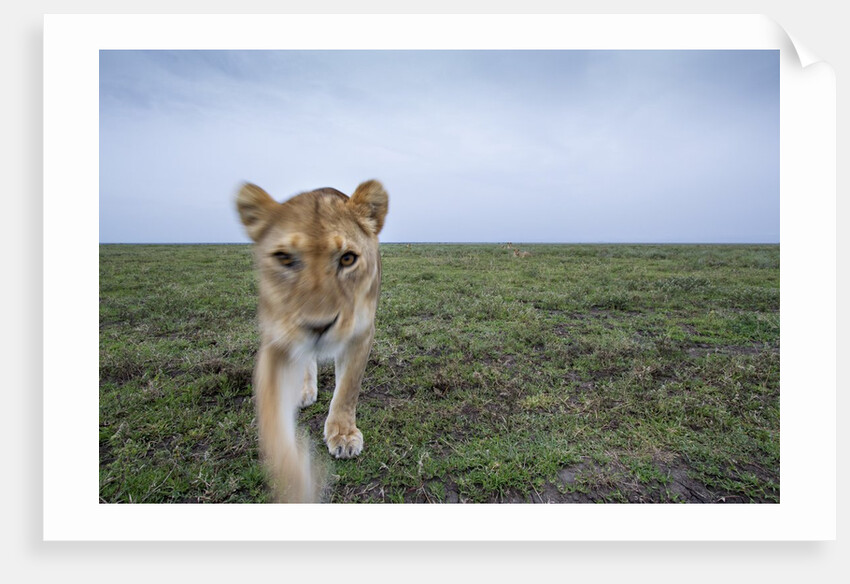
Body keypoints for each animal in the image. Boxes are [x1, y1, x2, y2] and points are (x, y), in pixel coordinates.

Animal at [236, 179, 388, 503]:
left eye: (347, 258)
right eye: (284, 258)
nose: (318, 326)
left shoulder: (361, 332)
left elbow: (347, 389)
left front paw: (343, 436)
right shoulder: (276, 339)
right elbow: (271, 417)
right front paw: (297, 480)